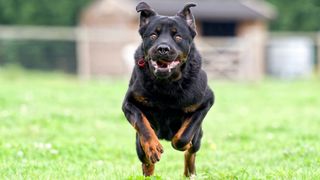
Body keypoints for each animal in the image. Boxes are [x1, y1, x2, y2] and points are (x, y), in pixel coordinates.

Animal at [122, 1, 215, 177]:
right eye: (153, 35)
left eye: (178, 36)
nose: (163, 48)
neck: (167, 84)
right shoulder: (129, 103)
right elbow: (142, 123)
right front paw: (153, 147)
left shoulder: (206, 102)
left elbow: (184, 136)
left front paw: (182, 143)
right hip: (137, 142)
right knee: (143, 155)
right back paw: (149, 168)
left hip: (198, 137)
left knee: (191, 152)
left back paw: (189, 173)